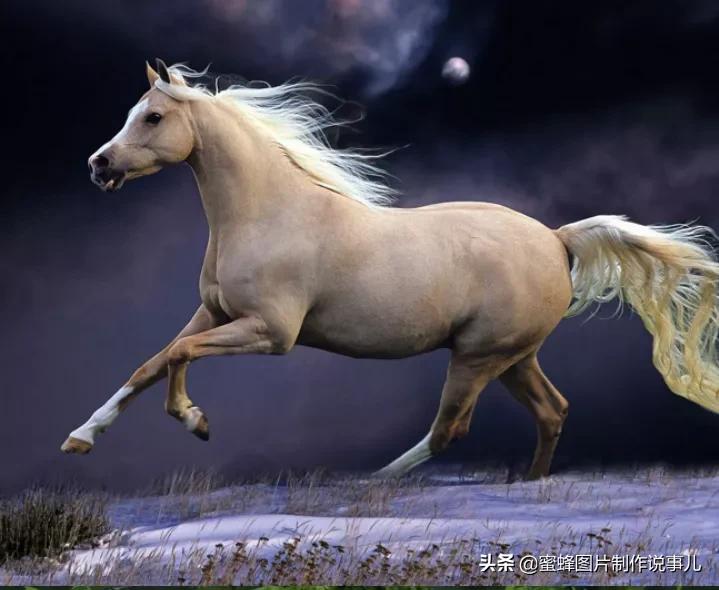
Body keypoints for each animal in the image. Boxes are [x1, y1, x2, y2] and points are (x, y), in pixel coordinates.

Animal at [61, 59, 719, 480]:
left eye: (152, 118)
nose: (98, 165)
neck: (267, 212)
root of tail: (557, 240)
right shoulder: (213, 313)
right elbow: (150, 363)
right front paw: (81, 438)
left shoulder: (271, 332)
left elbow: (176, 357)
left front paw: (195, 421)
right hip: (513, 356)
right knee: (551, 411)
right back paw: (529, 485)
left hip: (478, 356)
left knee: (451, 428)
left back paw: (369, 482)